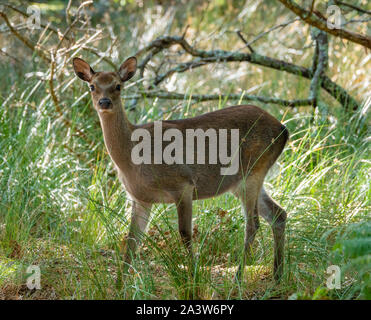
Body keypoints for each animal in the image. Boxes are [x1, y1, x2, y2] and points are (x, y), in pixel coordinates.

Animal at [72, 56, 288, 282]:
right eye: (92, 86)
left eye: (118, 86)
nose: (104, 102)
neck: (132, 159)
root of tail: (283, 129)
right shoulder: (140, 198)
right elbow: (131, 240)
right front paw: (119, 284)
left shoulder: (183, 184)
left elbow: (185, 234)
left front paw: (193, 278)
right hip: (243, 180)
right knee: (278, 214)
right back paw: (277, 275)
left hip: (252, 170)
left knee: (253, 224)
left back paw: (238, 279)